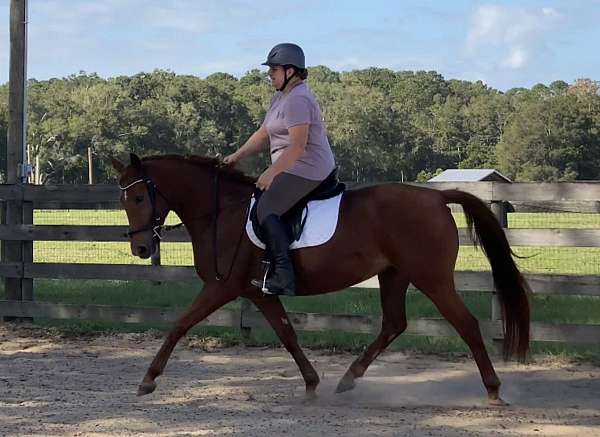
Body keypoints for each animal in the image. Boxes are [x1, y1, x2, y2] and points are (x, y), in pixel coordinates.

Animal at [111, 153, 528, 406]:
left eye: (138, 199)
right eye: (124, 200)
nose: (141, 249)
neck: (222, 213)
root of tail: (437, 198)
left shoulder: (221, 287)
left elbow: (179, 324)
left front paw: (148, 379)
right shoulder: (258, 292)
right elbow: (287, 334)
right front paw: (312, 383)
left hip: (432, 278)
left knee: (466, 324)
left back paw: (493, 390)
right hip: (394, 275)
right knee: (394, 324)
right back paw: (348, 379)